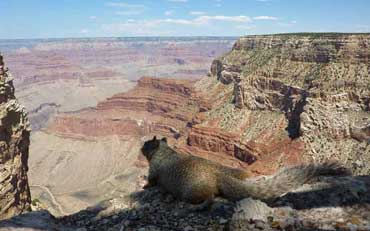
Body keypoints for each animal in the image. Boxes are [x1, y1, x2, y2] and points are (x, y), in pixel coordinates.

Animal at [140, 136, 352, 203]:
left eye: (147, 144)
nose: (141, 147)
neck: (165, 151)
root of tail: (218, 176)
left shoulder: (154, 170)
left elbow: (151, 180)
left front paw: (144, 186)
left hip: (192, 190)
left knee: (209, 197)